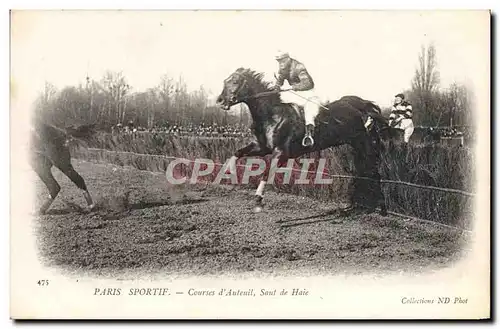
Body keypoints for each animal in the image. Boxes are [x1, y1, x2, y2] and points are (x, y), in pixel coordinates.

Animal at [217, 68, 388, 214]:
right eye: (225, 80)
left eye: (235, 82)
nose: (220, 101)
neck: (272, 115)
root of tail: (355, 104)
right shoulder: (262, 147)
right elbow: (238, 152)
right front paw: (228, 171)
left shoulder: (281, 153)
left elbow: (266, 172)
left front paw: (258, 199)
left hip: (363, 142)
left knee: (374, 170)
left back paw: (382, 207)